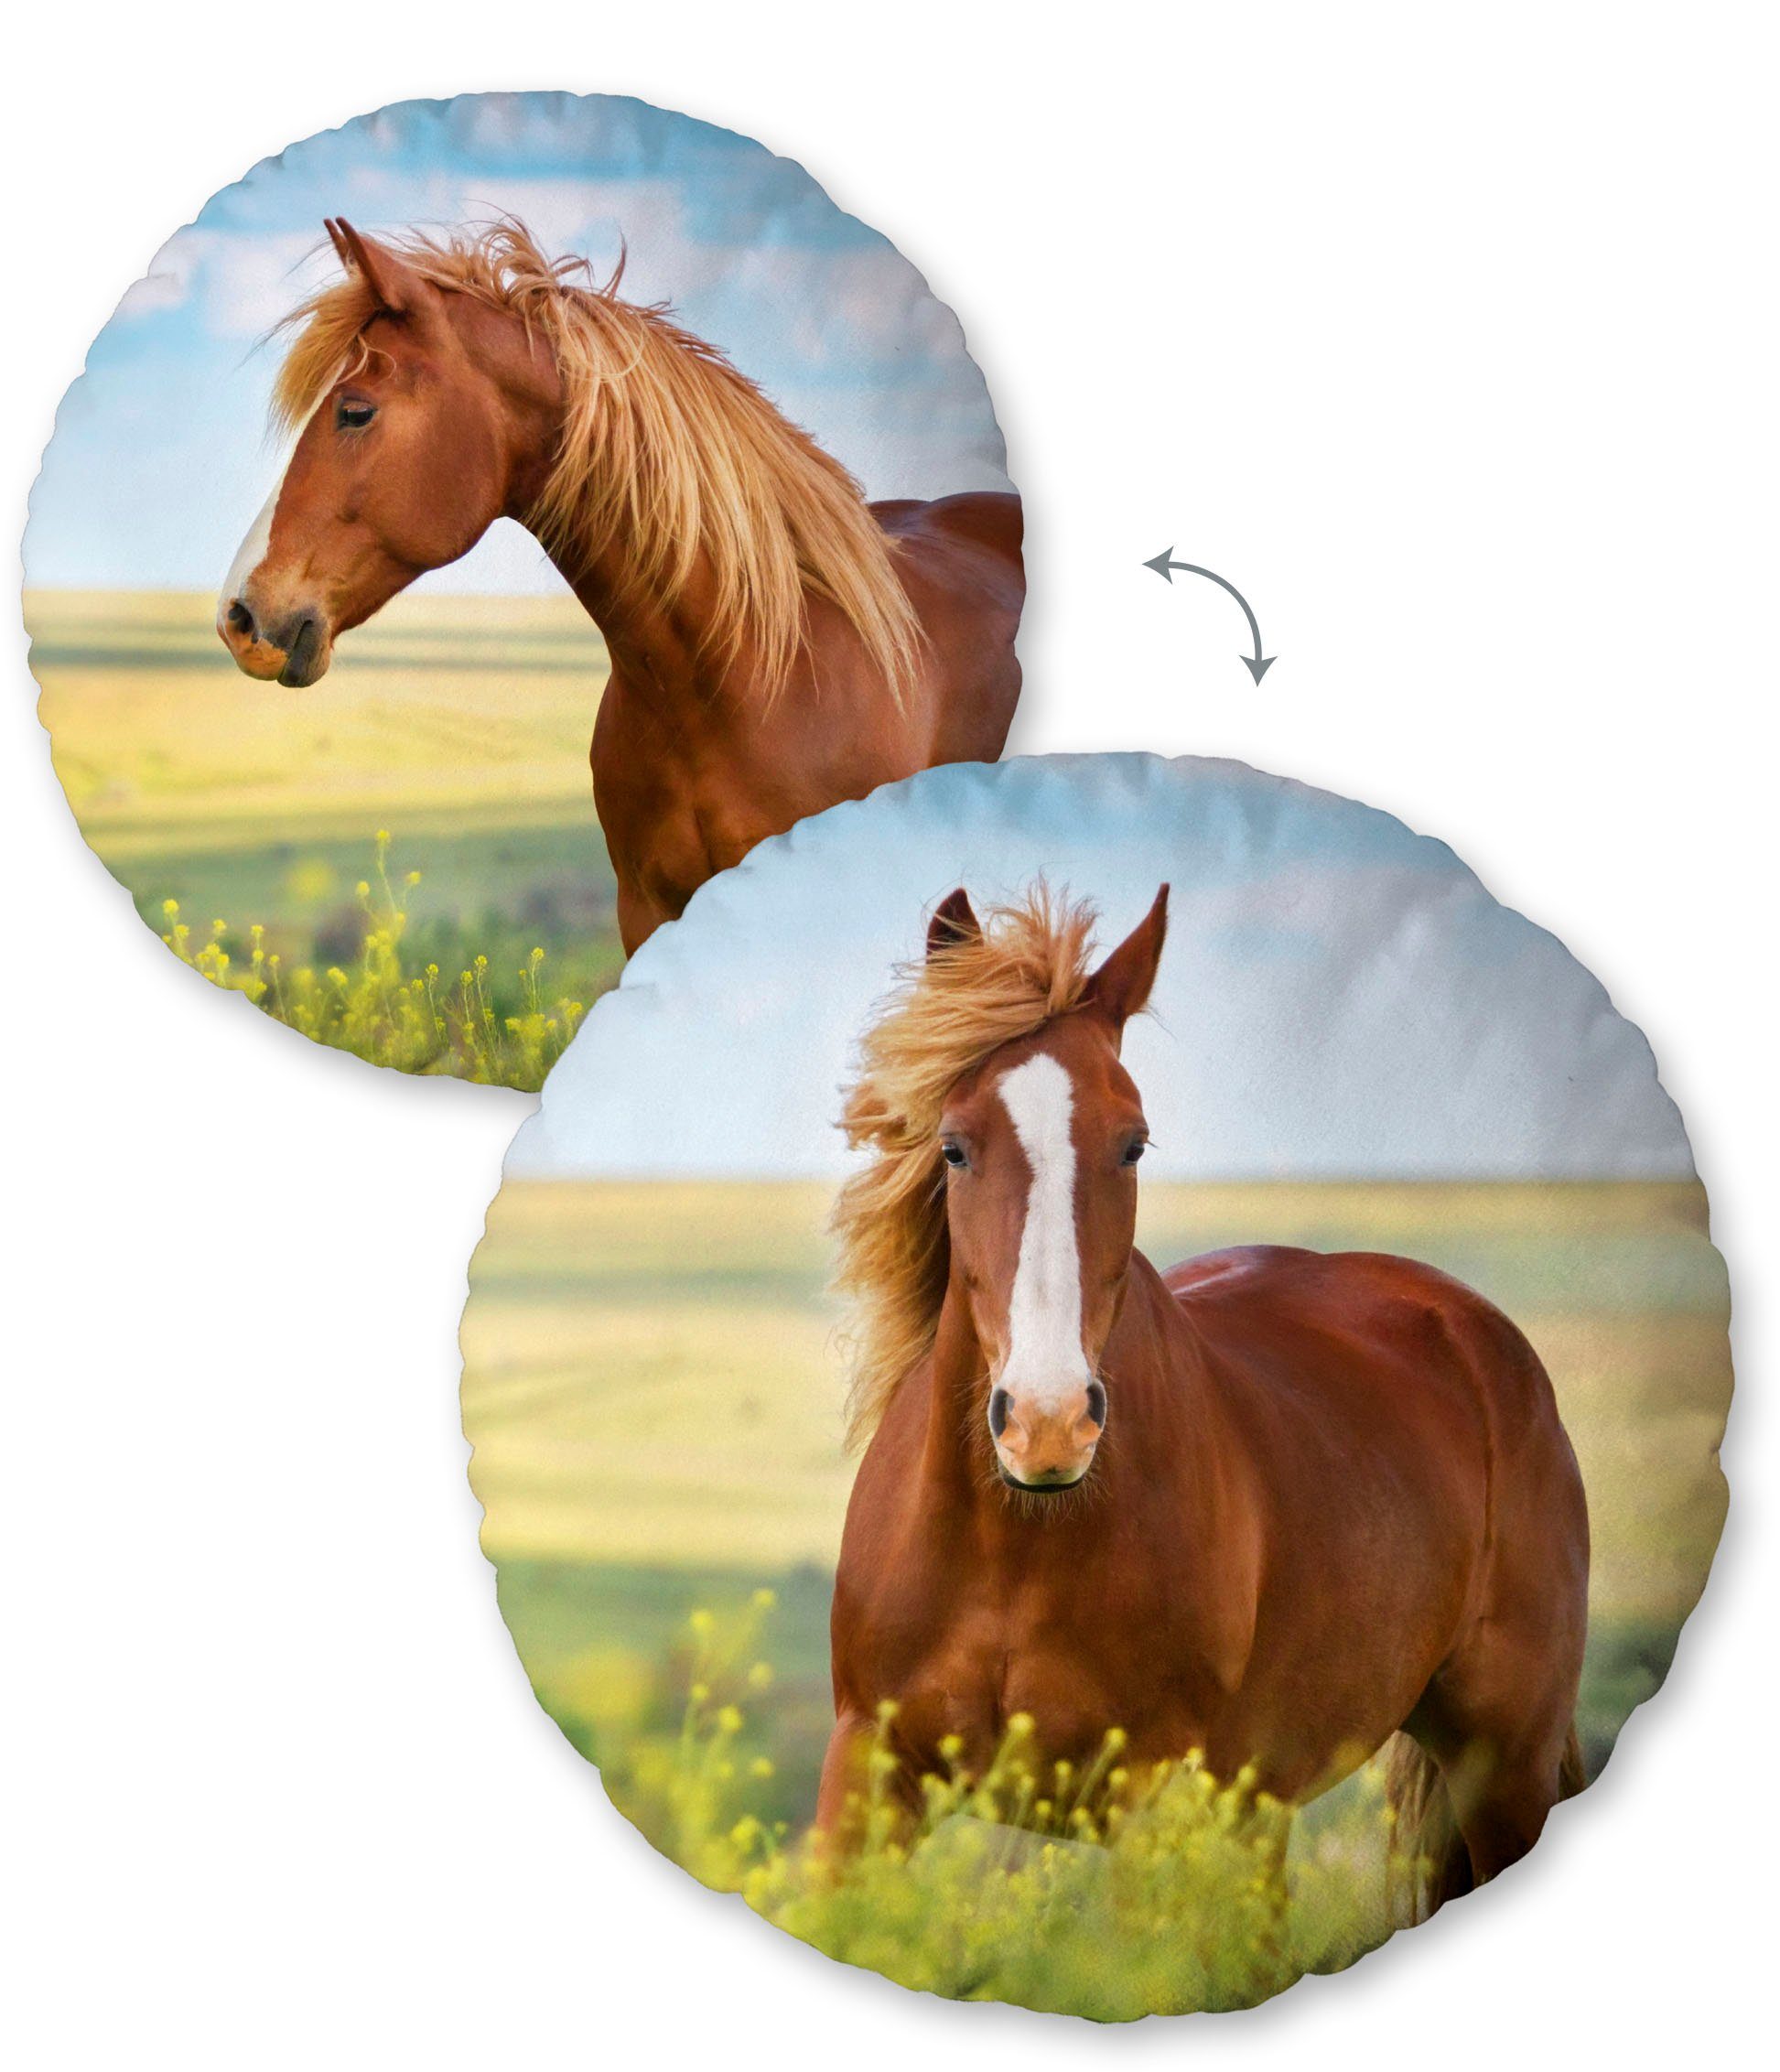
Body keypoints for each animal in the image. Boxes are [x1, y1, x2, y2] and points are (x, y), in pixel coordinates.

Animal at [822, 884, 1590, 1915]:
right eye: (953, 1147)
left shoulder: (1153, 1801)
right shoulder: (865, 1771)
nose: (1048, 1424)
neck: (1016, 1543)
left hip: (1502, 1766)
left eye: (1133, 1143)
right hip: (1264, 1807)